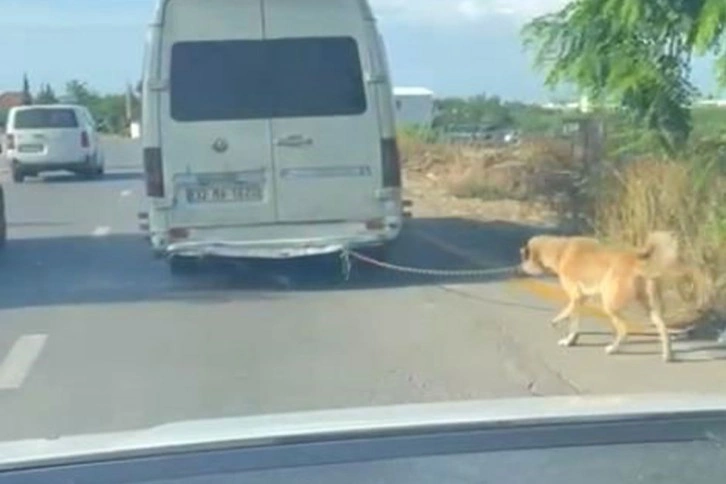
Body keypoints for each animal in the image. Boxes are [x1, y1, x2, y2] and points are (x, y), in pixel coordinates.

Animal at [516, 233, 684, 362]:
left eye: (523, 257)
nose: (518, 269)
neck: (560, 252)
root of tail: (636, 260)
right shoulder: (580, 298)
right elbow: (567, 313)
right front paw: (561, 325)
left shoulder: (576, 297)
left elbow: (573, 322)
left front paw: (569, 340)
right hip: (651, 308)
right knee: (663, 329)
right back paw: (667, 355)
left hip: (609, 305)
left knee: (623, 329)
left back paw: (613, 349)